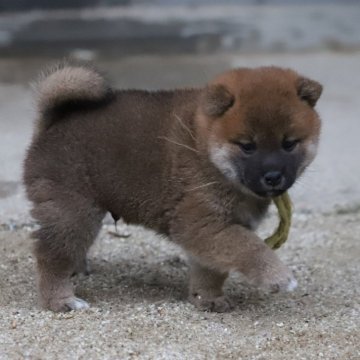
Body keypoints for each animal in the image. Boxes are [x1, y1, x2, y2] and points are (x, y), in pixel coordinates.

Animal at [23, 63, 322, 310]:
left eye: (289, 144)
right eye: (248, 146)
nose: (273, 176)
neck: (203, 145)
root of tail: (51, 125)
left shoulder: (214, 229)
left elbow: (212, 268)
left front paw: (207, 299)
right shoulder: (201, 223)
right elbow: (247, 247)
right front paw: (278, 276)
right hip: (73, 212)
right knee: (51, 256)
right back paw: (61, 300)